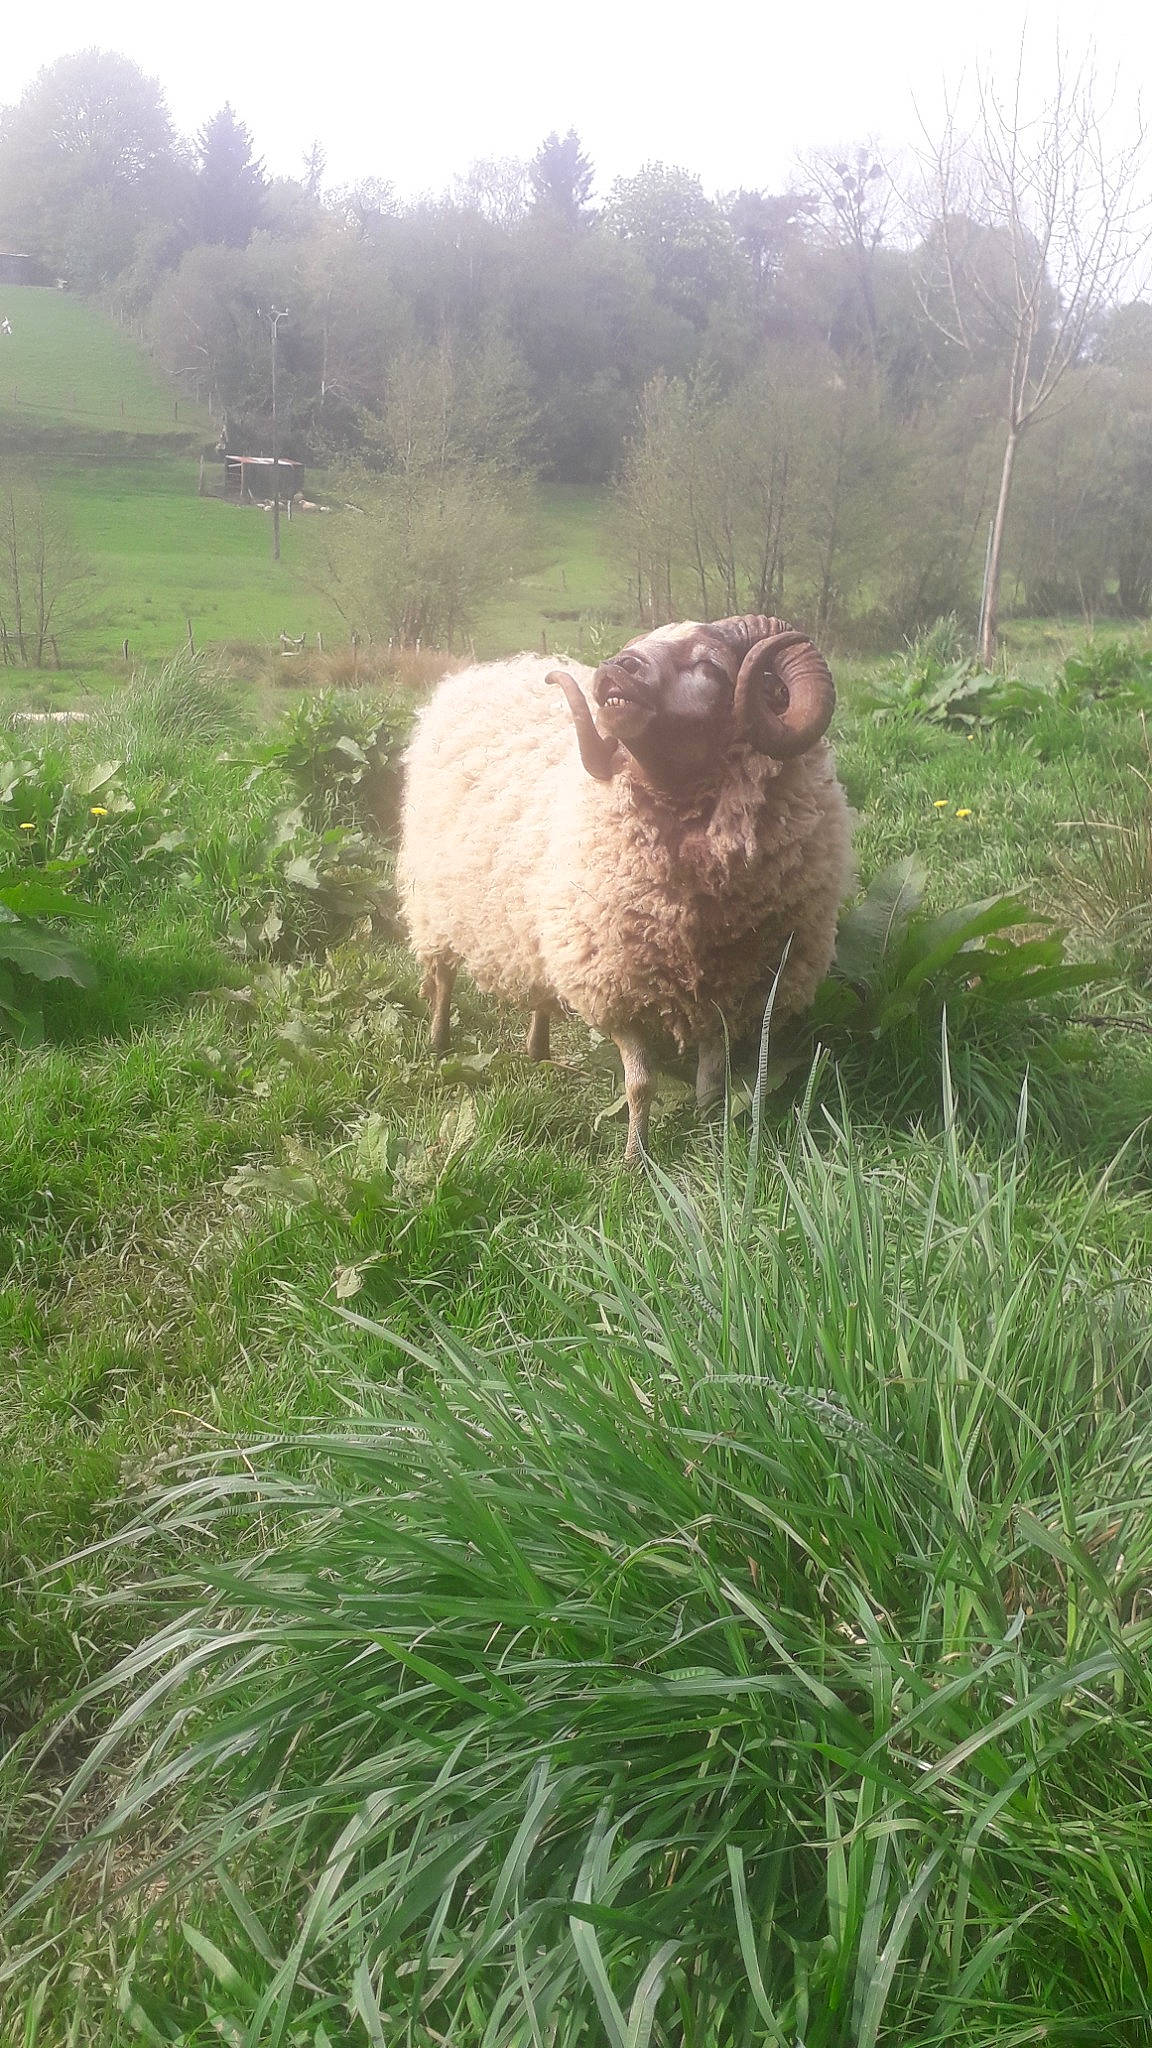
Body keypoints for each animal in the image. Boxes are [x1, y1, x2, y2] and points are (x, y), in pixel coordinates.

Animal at [397, 615, 853, 1160]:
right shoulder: (612, 980)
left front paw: (708, 1136)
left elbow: (712, 1080)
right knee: (442, 975)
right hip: (435, 900)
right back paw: (439, 1040)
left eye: (710, 666)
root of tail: (483, 672)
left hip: (537, 923)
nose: (618, 667)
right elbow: (640, 1084)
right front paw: (637, 1159)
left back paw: (538, 1049)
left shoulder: (731, 990)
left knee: (539, 989)